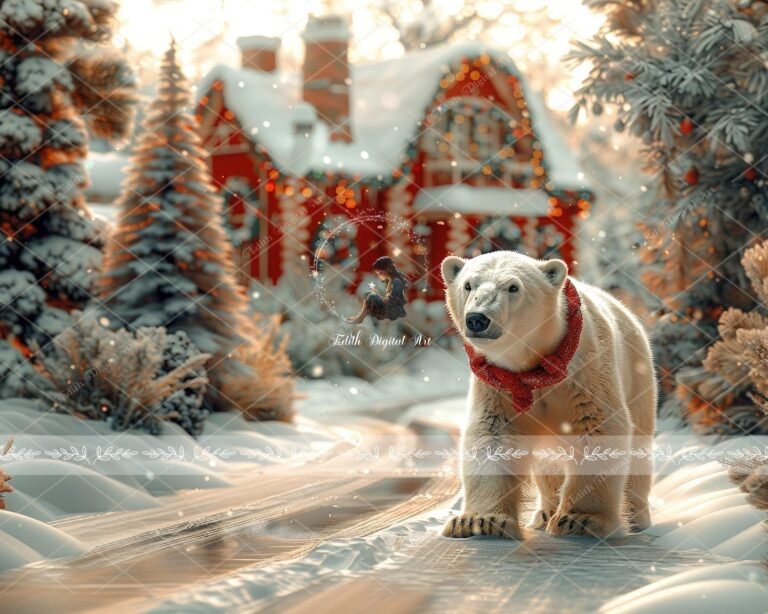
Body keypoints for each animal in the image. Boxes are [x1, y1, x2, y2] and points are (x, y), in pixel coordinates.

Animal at [440, 251, 656, 540]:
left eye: (513, 287)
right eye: (468, 285)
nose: (477, 319)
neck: (534, 368)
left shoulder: (586, 371)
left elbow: (598, 428)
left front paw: (581, 520)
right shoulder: (498, 384)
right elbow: (491, 435)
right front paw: (479, 521)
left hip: (638, 377)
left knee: (639, 449)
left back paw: (636, 517)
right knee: (548, 462)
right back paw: (545, 513)